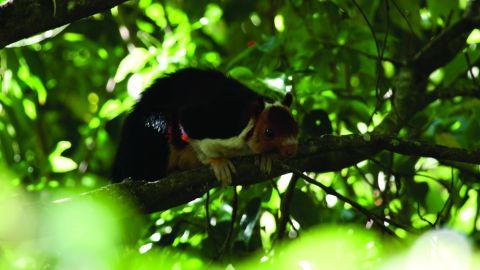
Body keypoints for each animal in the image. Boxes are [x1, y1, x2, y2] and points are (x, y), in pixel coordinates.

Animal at [112, 68, 298, 186]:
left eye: (296, 127)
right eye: (269, 132)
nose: (291, 150)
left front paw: (264, 157)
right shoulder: (215, 121)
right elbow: (190, 127)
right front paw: (217, 162)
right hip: (152, 132)